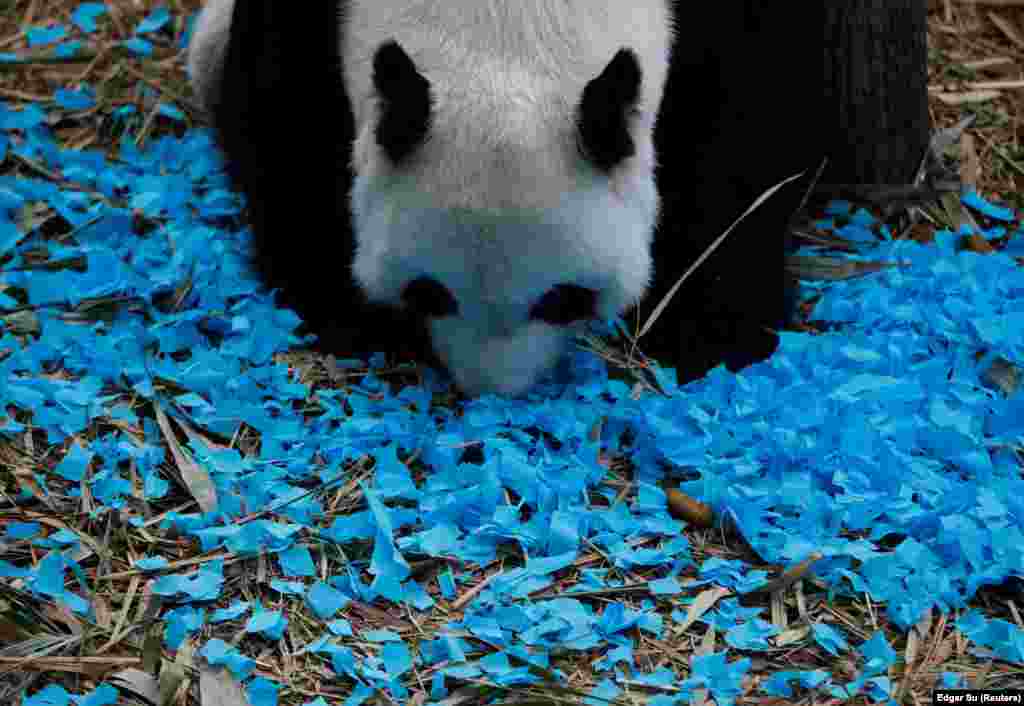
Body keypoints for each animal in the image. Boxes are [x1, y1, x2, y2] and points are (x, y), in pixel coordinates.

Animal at [186, 0, 823, 397]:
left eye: (563, 299)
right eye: (430, 292)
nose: (495, 391)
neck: (508, 19)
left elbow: (746, 115)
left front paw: (711, 329)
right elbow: (284, 103)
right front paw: (341, 306)